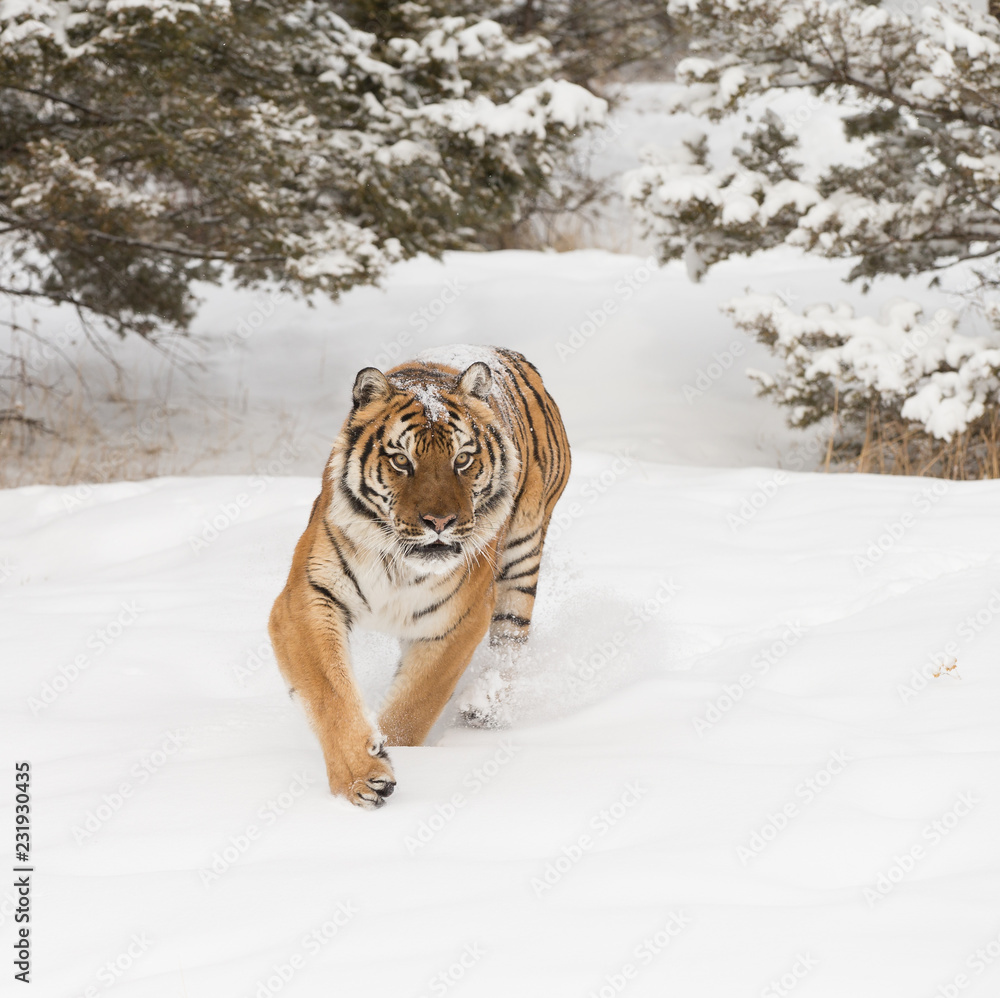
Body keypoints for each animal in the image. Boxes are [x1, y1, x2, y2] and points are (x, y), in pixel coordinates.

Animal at [268, 348, 572, 808]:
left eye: (462, 459)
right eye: (401, 460)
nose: (440, 522)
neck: (399, 564)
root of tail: (509, 354)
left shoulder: (455, 622)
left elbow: (414, 706)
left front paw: (392, 753)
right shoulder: (309, 596)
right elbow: (329, 692)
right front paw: (362, 777)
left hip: (523, 557)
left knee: (511, 641)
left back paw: (485, 706)